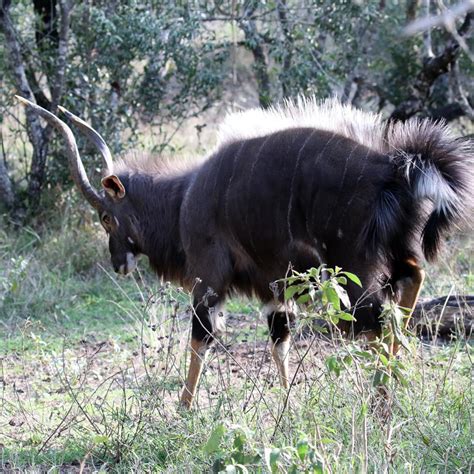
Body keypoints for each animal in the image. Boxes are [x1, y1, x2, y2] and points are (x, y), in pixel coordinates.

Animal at [16, 95, 472, 408]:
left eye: (106, 217)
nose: (118, 264)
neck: (184, 197)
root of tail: (392, 167)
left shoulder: (209, 281)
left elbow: (200, 340)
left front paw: (183, 409)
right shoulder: (277, 289)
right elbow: (279, 343)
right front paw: (289, 402)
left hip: (353, 270)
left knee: (380, 320)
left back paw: (382, 398)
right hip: (393, 256)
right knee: (410, 283)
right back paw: (399, 380)